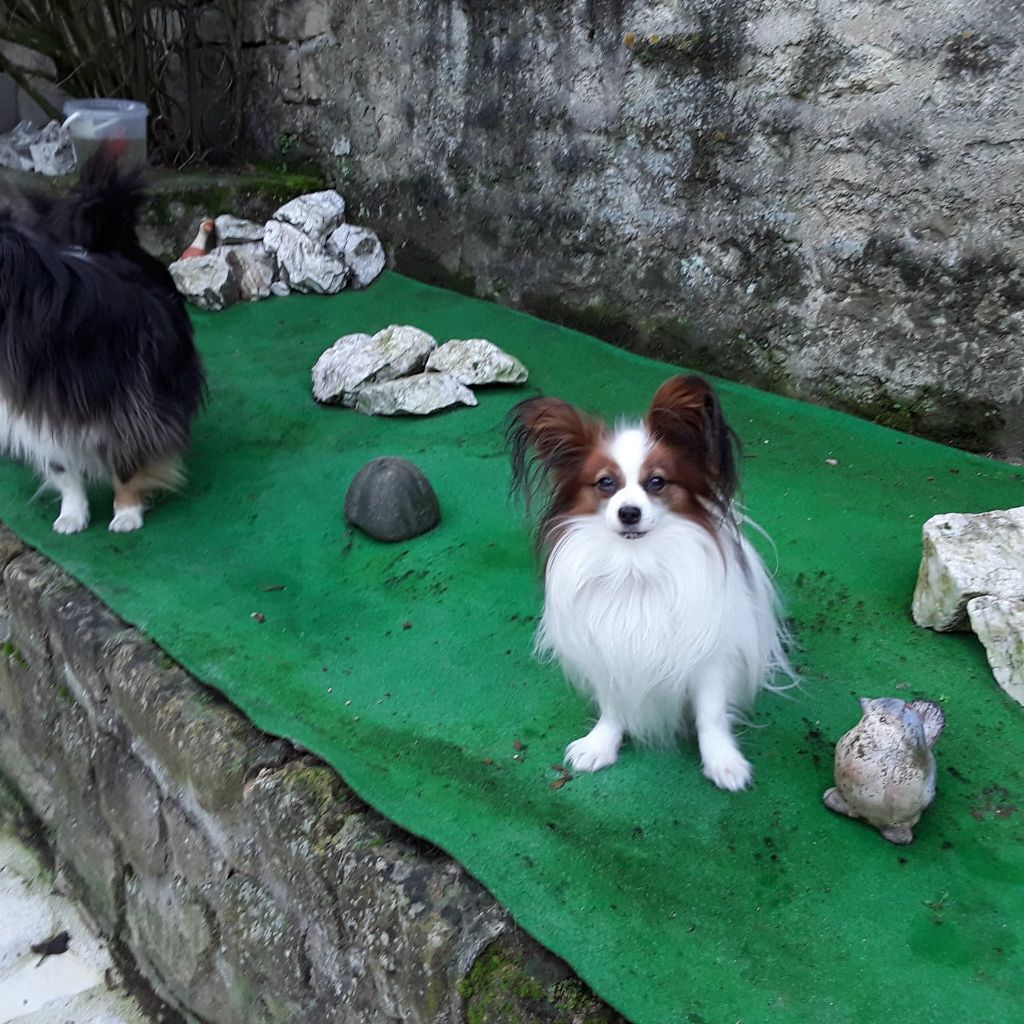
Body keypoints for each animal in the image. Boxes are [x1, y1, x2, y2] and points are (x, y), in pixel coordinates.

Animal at [0, 147, 205, 532]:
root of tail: (112, 237)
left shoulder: (130, 406)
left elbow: (125, 463)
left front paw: (127, 514)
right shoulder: (36, 416)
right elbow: (61, 468)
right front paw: (72, 514)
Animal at [507, 376, 794, 790]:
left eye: (656, 482)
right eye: (605, 483)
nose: (629, 512)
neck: (635, 565)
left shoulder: (710, 657)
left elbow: (711, 714)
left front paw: (724, 763)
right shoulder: (608, 644)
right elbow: (612, 706)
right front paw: (600, 744)